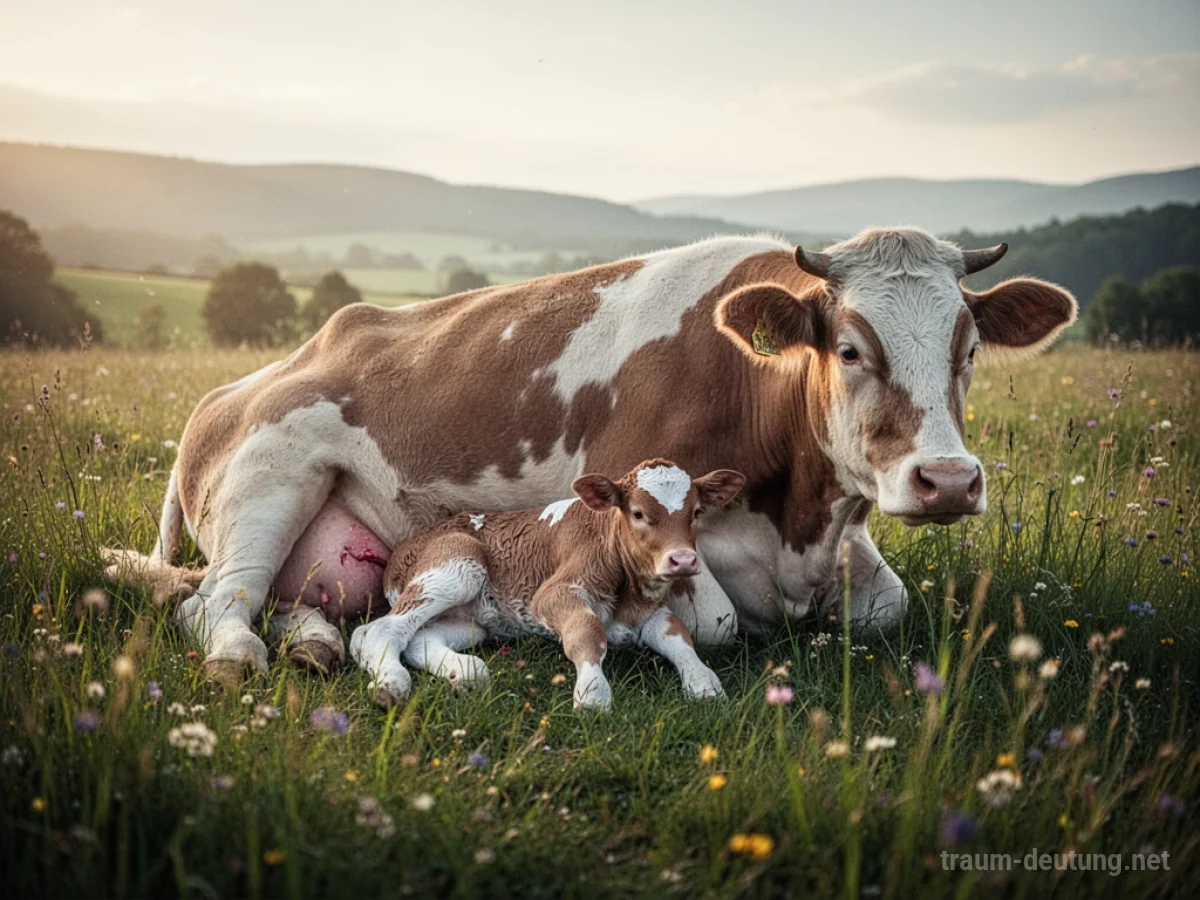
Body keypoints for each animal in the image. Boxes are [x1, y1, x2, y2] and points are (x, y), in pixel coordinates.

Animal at [115, 227, 1076, 684]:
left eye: (969, 350)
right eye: (847, 348)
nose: (946, 481)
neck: (801, 519)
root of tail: (249, 378)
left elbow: (889, 604)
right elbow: (718, 621)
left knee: (295, 603)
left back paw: (315, 640)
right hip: (269, 479)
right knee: (215, 602)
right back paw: (244, 654)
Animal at [350, 459, 745, 709]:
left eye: (696, 513)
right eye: (637, 514)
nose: (683, 559)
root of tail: (403, 549)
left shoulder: (652, 611)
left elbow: (678, 637)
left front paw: (705, 682)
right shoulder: (552, 592)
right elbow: (586, 628)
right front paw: (592, 693)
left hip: (471, 619)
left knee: (420, 638)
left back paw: (466, 672)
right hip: (457, 565)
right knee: (376, 630)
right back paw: (391, 683)